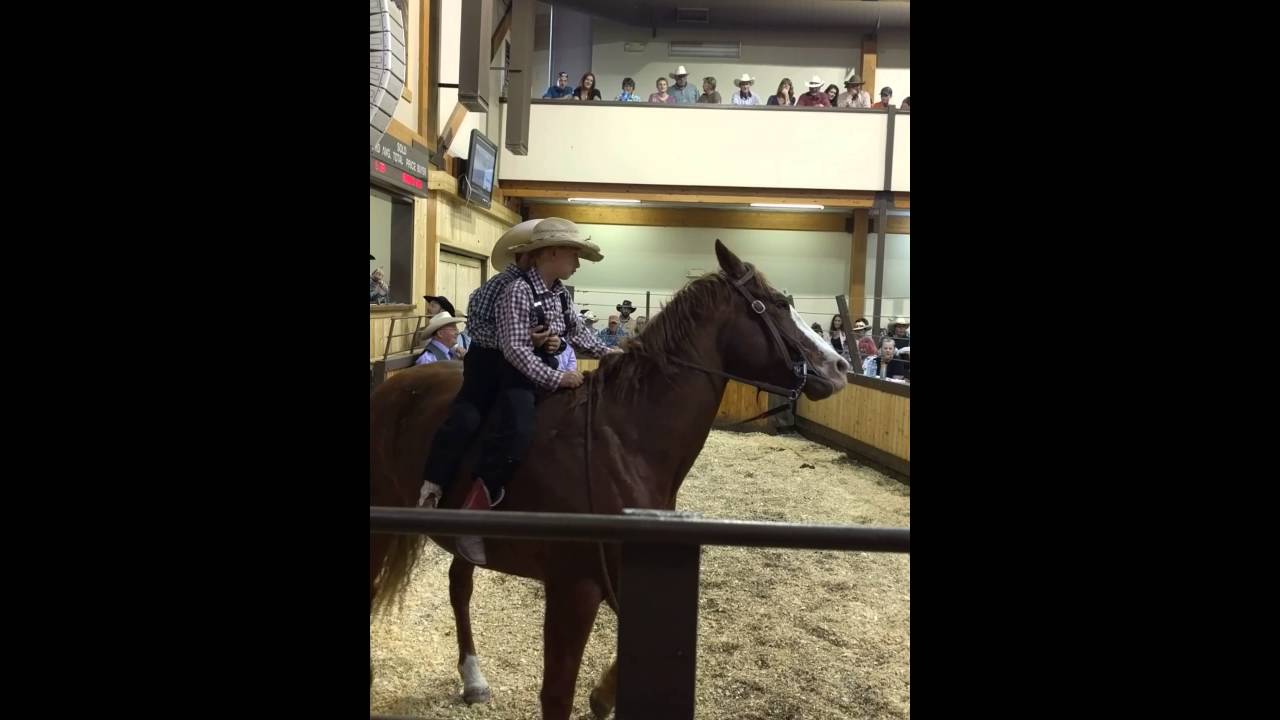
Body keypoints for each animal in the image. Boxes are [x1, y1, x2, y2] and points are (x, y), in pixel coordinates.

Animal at [371, 239, 850, 719]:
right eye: (778, 303)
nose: (841, 366)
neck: (622, 440)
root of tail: (391, 386)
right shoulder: (574, 589)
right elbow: (556, 694)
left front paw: (602, 696)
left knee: (460, 586)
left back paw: (473, 678)